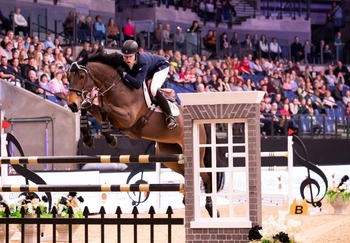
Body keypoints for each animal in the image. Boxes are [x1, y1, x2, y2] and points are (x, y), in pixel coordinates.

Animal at [66, 47, 227, 216]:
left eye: (81, 76)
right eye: (68, 77)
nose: (71, 105)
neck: (115, 86)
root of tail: (199, 121)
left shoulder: (128, 117)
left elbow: (105, 109)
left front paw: (110, 139)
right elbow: (87, 106)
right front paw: (87, 138)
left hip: (195, 153)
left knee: (207, 177)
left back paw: (211, 208)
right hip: (170, 155)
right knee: (188, 173)